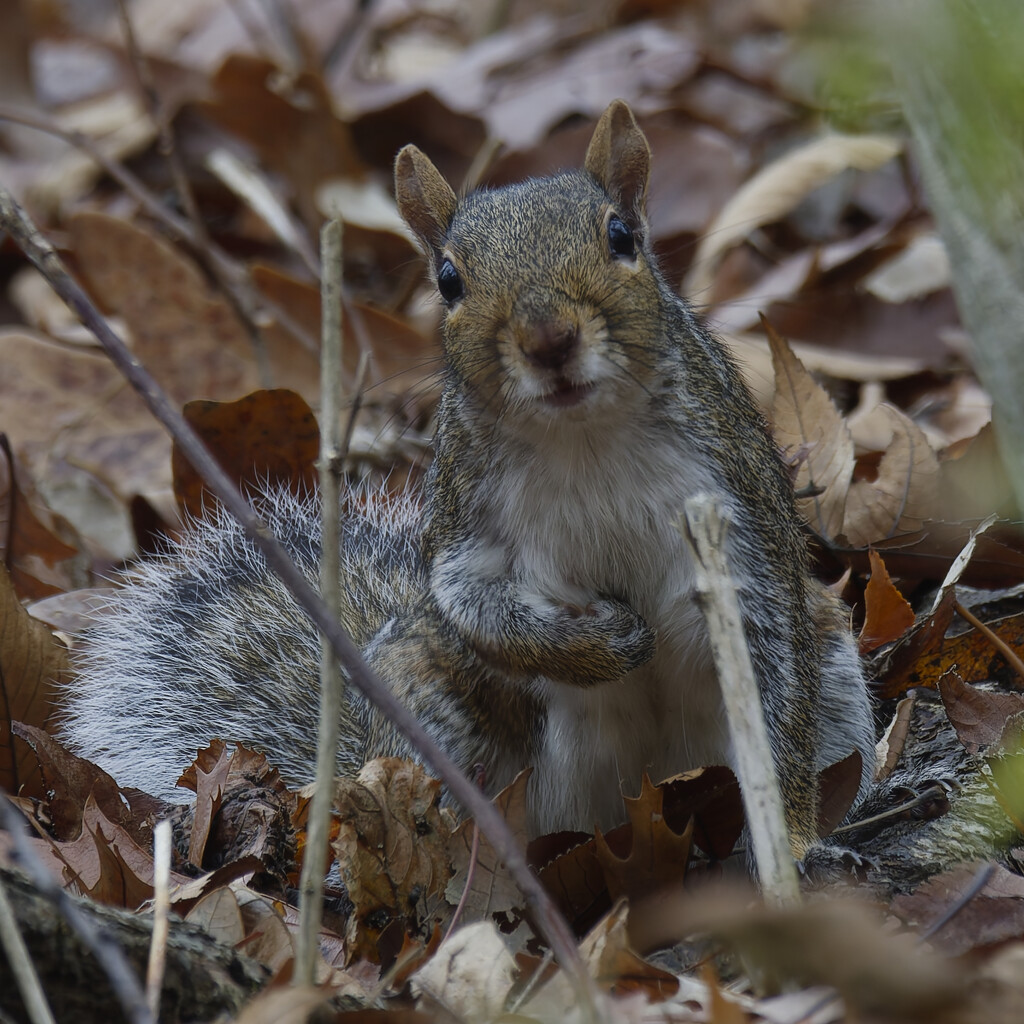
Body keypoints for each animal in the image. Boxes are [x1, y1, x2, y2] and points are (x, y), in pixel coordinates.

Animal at [59, 101, 872, 856]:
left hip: (836, 667)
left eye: (622, 238)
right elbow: (469, 602)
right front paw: (602, 645)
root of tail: (641, 796)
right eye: (448, 279)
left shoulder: (741, 511)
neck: (581, 437)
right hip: (430, 709)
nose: (548, 339)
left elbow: (773, 692)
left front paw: (797, 841)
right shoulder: (463, 518)